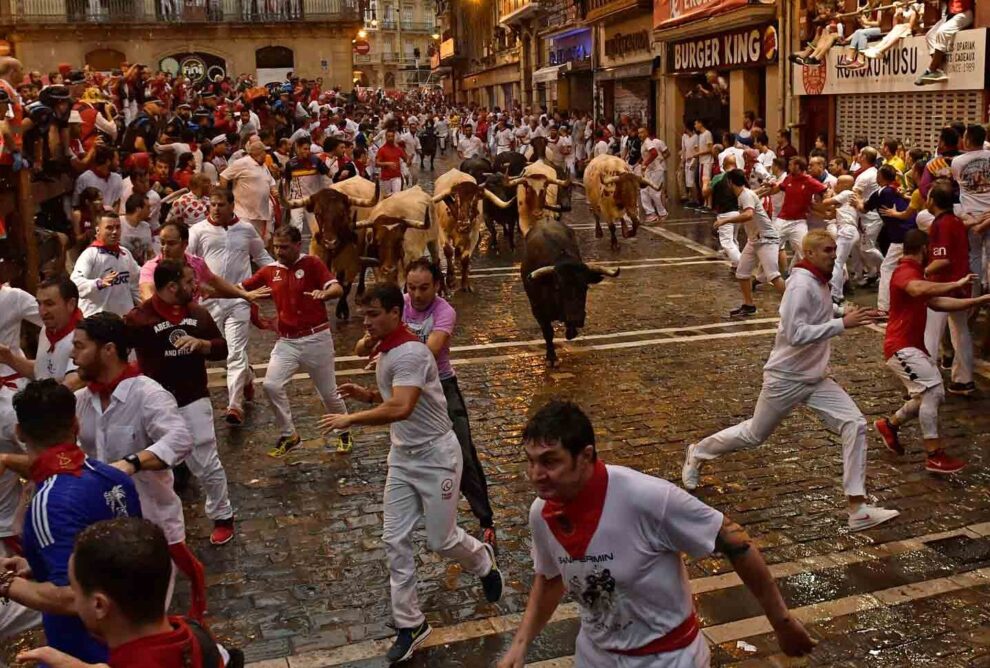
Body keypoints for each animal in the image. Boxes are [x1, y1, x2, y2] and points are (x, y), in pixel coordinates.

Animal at [520, 219, 620, 366]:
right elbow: (548, 333)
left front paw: (570, 332)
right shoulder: (538, 311)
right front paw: (551, 357)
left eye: (585, 287)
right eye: (558, 287)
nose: (576, 318)